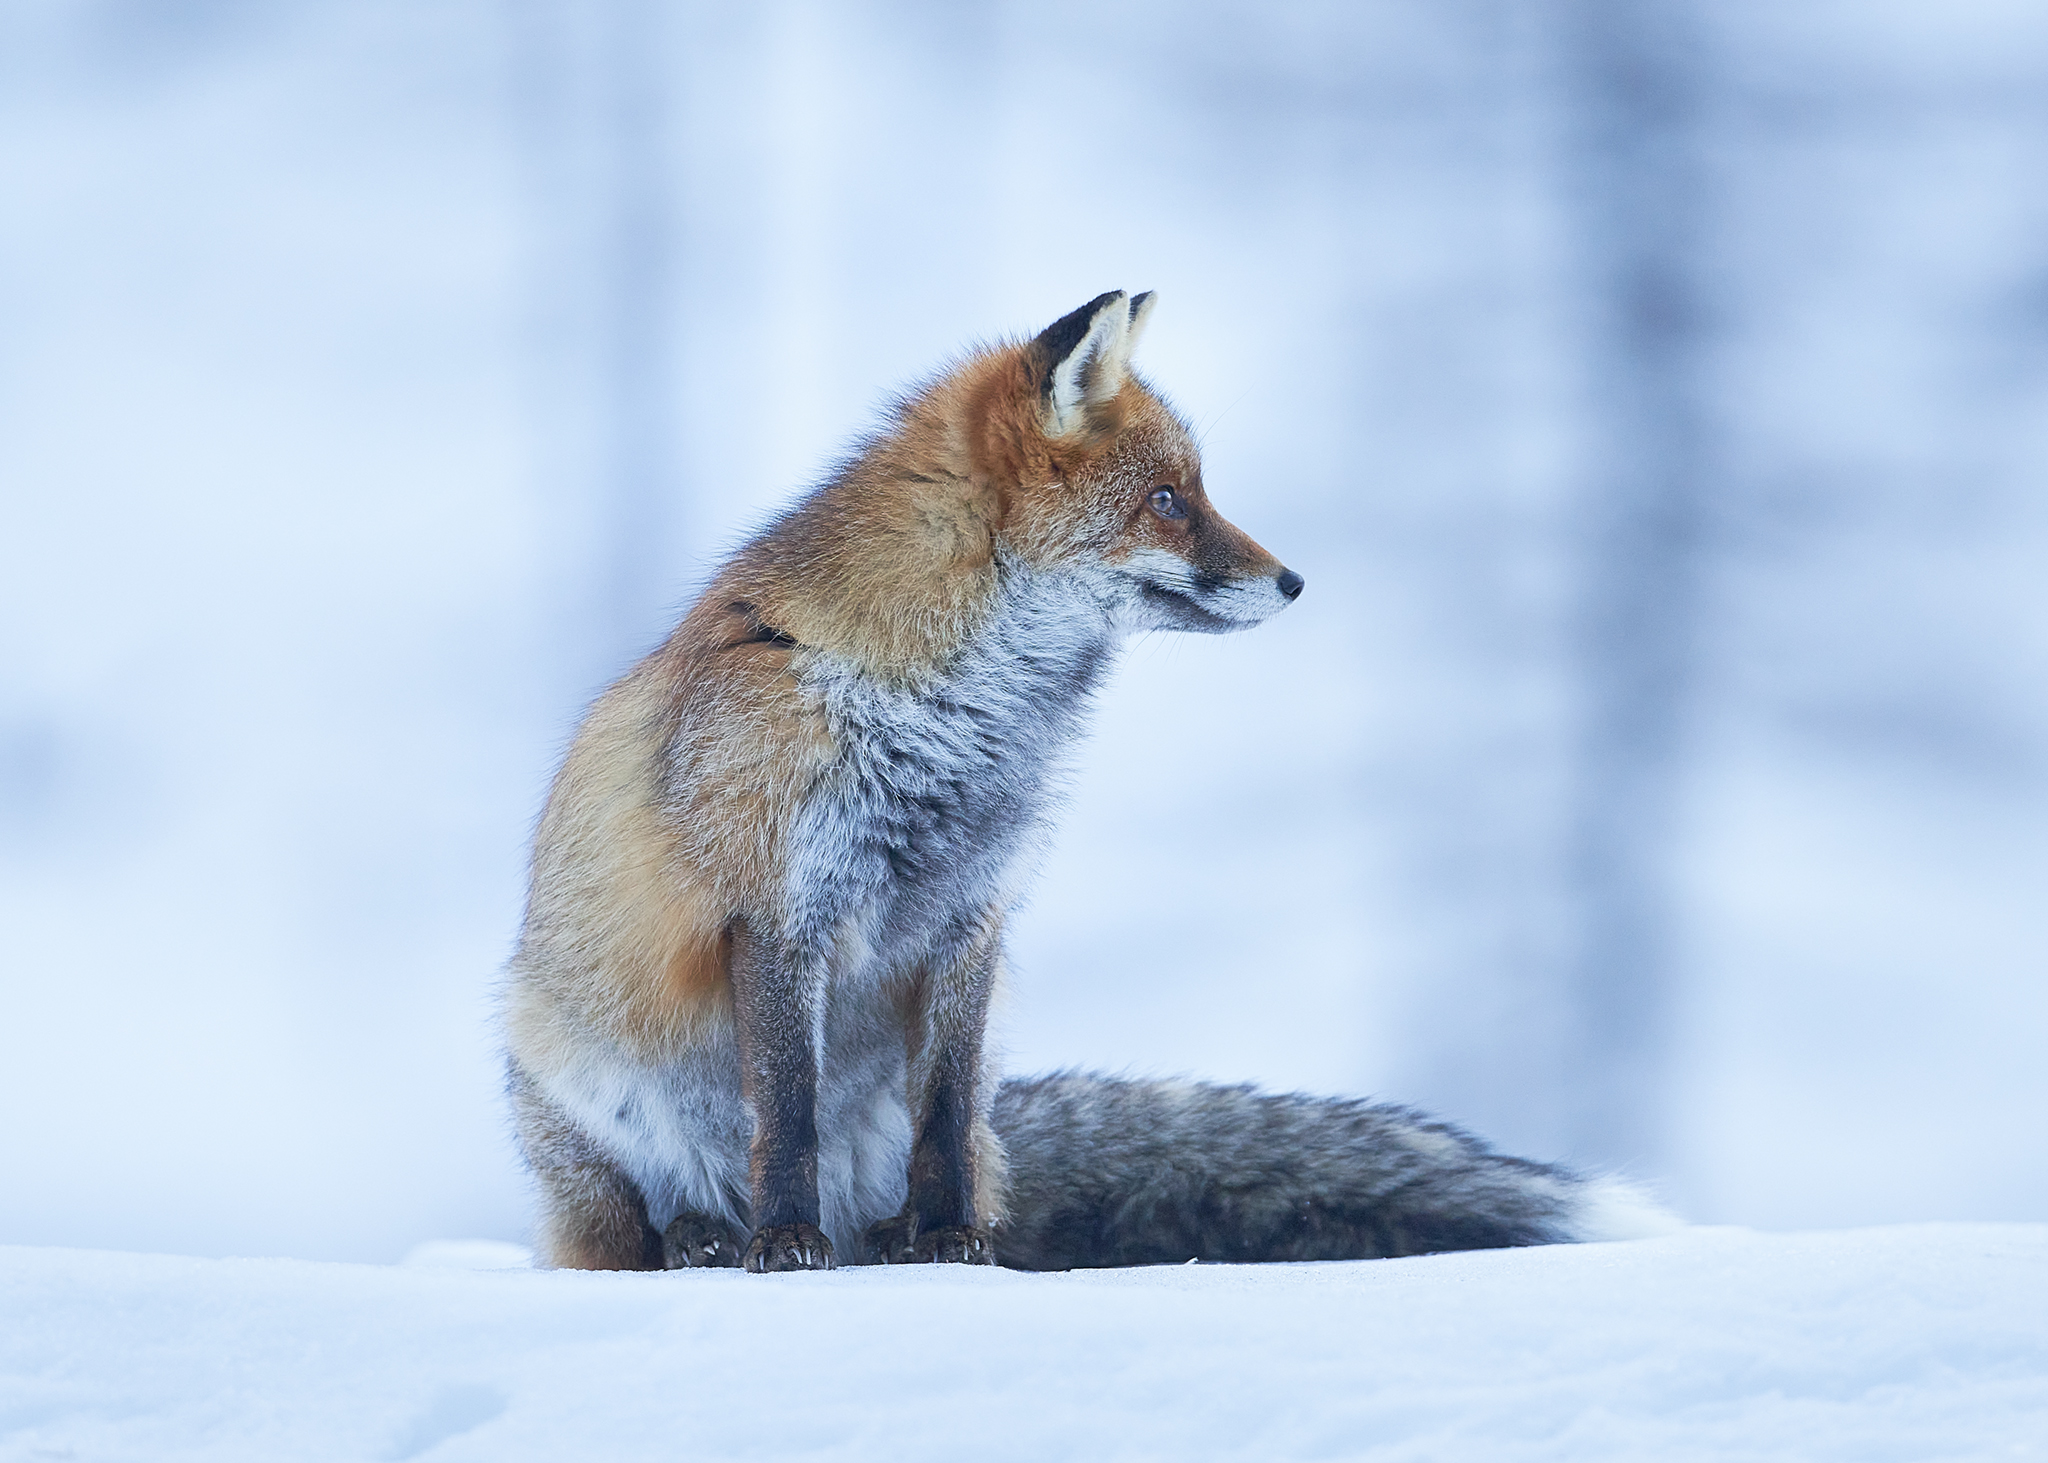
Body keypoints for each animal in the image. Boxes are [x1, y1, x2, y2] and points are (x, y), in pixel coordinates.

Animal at [503, 290, 1674, 1273]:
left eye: (1194, 490)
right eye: (1166, 498)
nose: (1294, 581)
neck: (952, 724)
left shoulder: (971, 912)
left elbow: (941, 1120)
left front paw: (949, 1243)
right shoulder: (780, 907)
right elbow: (784, 1113)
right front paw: (783, 1242)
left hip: (947, 1116)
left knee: (950, 1151)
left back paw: (880, 1237)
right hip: (583, 1098)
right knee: (628, 1232)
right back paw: (705, 1235)